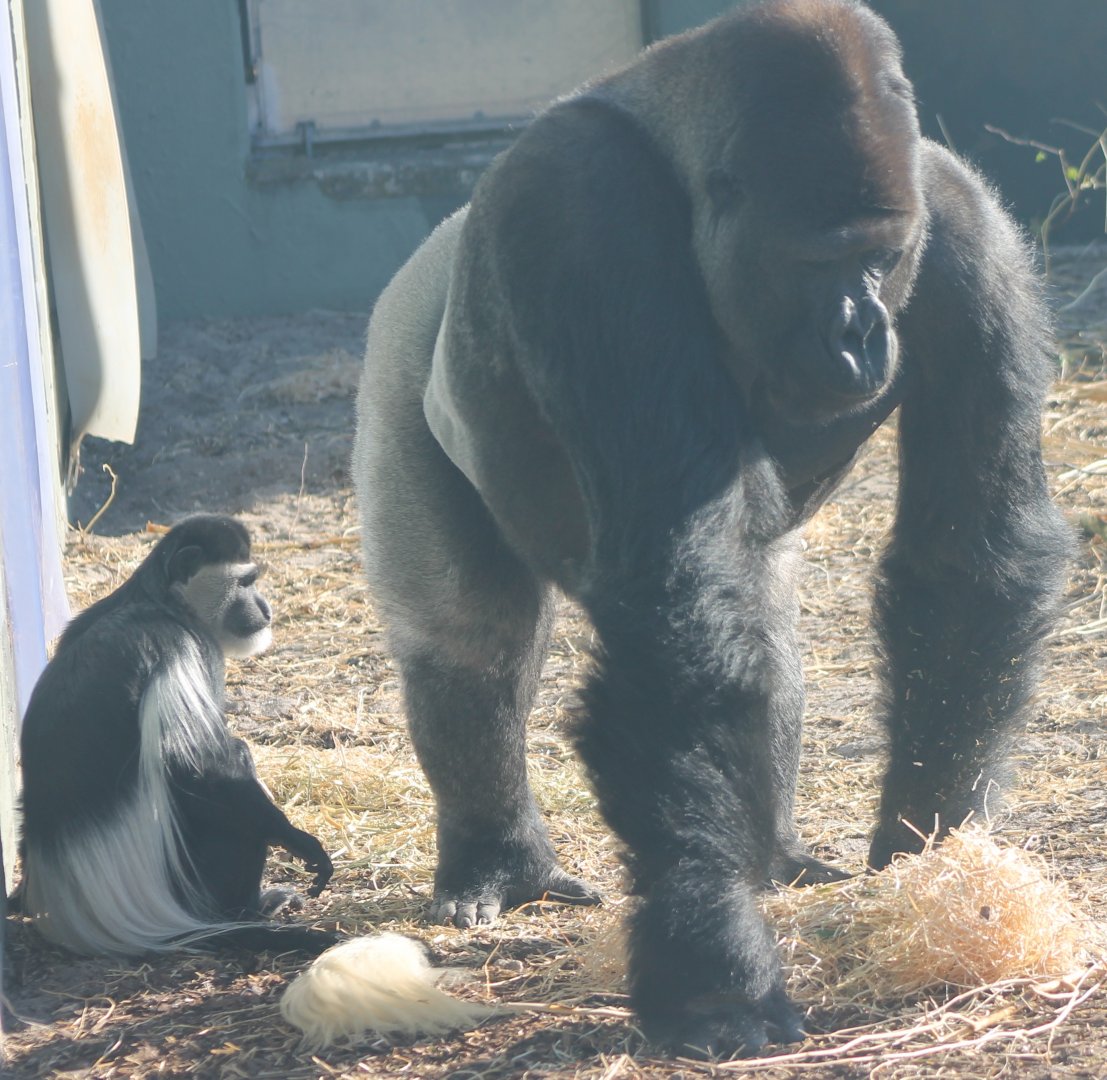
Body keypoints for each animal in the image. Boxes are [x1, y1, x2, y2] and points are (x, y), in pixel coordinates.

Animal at [13, 514, 335, 956]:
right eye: (246, 582)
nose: (266, 609)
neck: (164, 602)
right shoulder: (178, 646)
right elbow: (196, 766)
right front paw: (297, 840)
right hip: (188, 879)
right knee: (231, 766)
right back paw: (251, 911)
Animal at [352, 0, 1070, 1056]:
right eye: (818, 262)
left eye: (879, 257)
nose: (863, 334)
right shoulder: (583, 213)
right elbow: (673, 596)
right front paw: (712, 966)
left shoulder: (962, 221)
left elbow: (966, 556)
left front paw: (926, 860)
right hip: (401, 348)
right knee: (468, 639)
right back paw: (499, 858)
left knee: (758, 624)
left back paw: (769, 854)